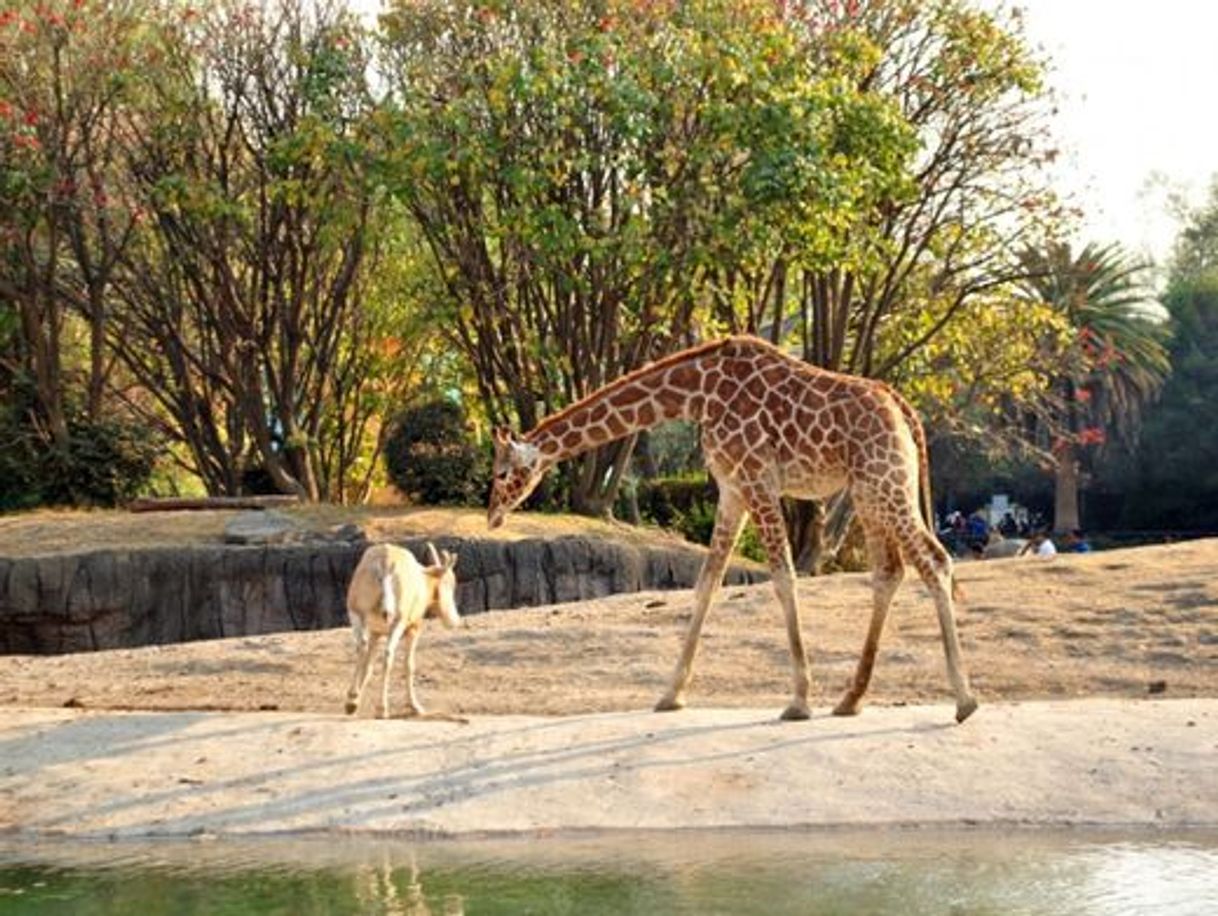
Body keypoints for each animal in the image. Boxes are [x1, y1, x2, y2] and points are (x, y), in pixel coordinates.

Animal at [484, 333, 979, 721]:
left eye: (502, 473)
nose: (492, 516)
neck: (697, 393)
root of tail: (903, 409)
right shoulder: (731, 490)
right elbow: (707, 582)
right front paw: (670, 694)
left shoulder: (757, 481)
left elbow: (783, 577)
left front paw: (798, 701)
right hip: (868, 491)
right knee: (889, 571)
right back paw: (851, 700)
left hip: (885, 481)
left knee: (935, 560)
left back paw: (964, 700)